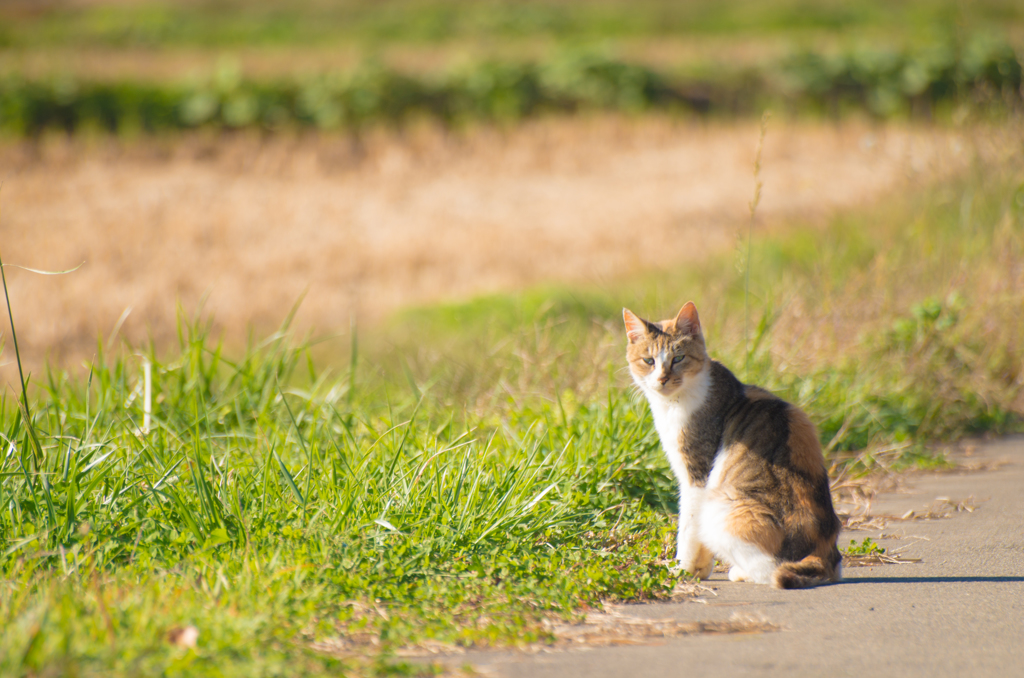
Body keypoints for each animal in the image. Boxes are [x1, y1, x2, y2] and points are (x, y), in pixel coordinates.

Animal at [622, 303, 839, 589]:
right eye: (649, 361)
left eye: (678, 359)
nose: (663, 379)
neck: (674, 403)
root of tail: (826, 554)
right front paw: (699, 569)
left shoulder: (697, 476)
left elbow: (688, 528)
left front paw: (682, 570)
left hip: (721, 507)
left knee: (771, 571)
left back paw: (740, 572)